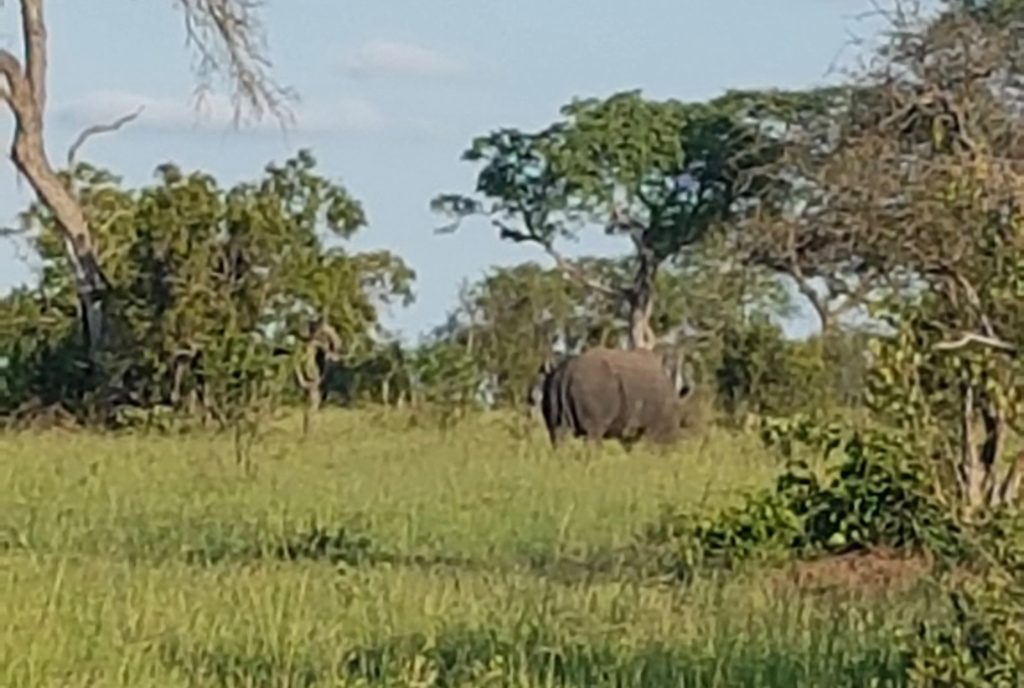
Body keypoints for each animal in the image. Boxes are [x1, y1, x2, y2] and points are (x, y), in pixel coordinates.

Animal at [532, 346, 692, 448]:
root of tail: (566, 372)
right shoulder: (654, 429)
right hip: (593, 386)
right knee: (593, 435)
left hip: (552, 385)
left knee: (557, 435)